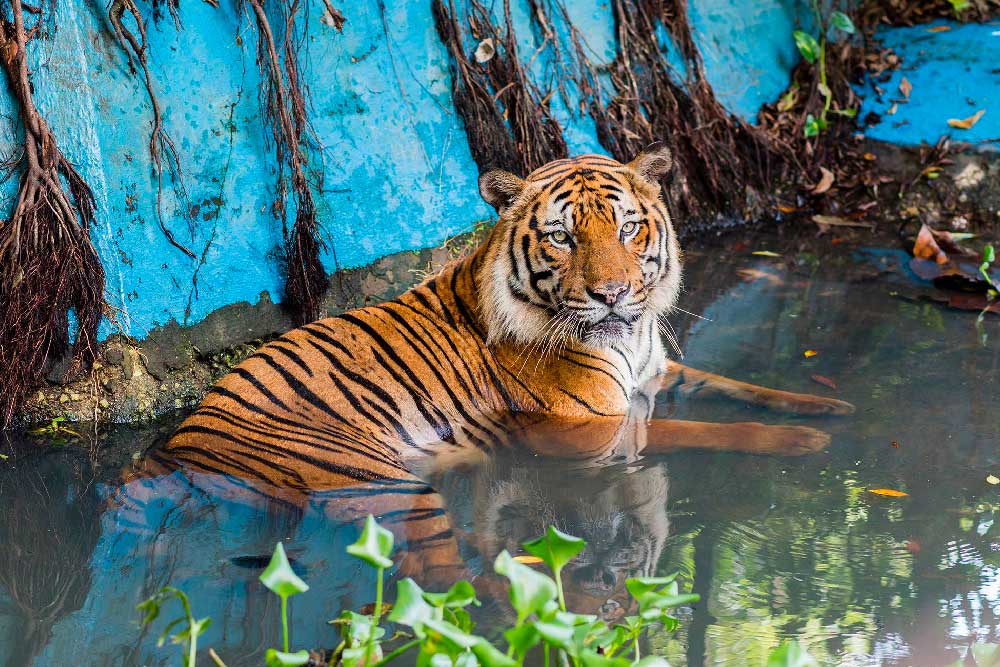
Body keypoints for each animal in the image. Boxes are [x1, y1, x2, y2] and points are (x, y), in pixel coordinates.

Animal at [129, 146, 856, 616]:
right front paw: (807, 445)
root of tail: (176, 445)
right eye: (563, 237)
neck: (628, 340)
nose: (615, 294)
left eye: (628, 227)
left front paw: (828, 406)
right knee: (441, 577)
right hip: (388, 486)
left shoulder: (655, 373)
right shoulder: (593, 426)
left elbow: (733, 387)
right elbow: (712, 427)